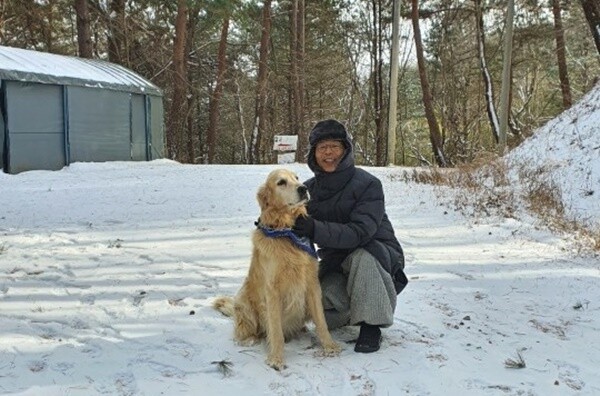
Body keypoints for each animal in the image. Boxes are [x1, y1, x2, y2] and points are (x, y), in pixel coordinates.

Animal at [213, 169, 340, 370]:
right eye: (281, 182)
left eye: (297, 178)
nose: (303, 189)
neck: (286, 232)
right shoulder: (272, 290)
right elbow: (276, 330)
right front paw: (277, 359)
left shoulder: (312, 284)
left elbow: (321, 321)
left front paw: (329, 346)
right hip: (244, 302)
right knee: (244, 332)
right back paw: (250, 340)